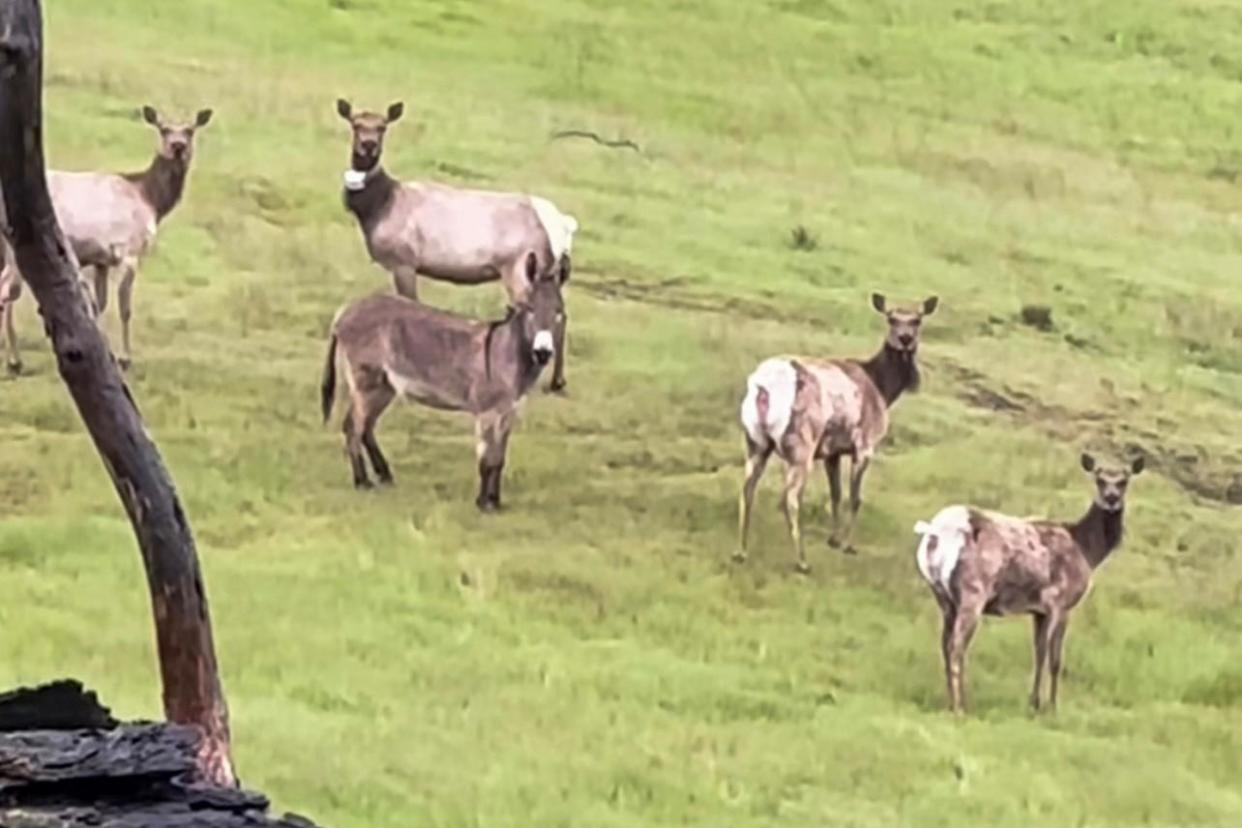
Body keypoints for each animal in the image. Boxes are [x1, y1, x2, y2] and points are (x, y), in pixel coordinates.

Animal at [322, 253, 568, 511]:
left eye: (559, 311)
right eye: (530, 309)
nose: (543, 352)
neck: (508, 353)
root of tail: (344, 312)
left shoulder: (508, 413)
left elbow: (499, 459)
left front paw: (495, 502)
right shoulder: (487, 412)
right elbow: (487, 459)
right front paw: (483, 503)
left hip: (383, 386)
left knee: (366, 427)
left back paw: (384, 475)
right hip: (366, 383)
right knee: (353, 427)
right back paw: (362, 482)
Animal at [332, 98, 578, 394]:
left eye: (382, 127)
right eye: (356, 124)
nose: (368, 145)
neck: (379, 207)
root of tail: (564, 225)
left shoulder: (404, 260)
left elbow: (411, 302)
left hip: (521, 267)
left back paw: (554, 379)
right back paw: (557, 379)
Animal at [730, 294, 933, 573]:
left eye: (917, 320)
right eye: (891, 318)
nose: (905, 339)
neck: (883, 388)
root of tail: (763, 388)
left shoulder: (832, 452)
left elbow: (836, 494)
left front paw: (834, 539)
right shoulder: (864, 445)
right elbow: (855, 497)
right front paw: (848, 545)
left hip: (755, 441)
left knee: (746, 489)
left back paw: (741, 551)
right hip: (801, 447)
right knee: (791, 497)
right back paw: (802, 561)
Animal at [914, 449, 1142, 715]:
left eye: (1124, 480)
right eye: (1099, 479)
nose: (1112, 498)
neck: (1087, 550)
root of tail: (936, 532)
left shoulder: (1038, 610)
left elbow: (1039, 654)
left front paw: (1034, 703)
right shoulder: (1061, 602)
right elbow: (1055, 659)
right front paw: (1052, 707)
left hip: (943, 596)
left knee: (944, 645)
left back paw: (951, 702)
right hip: (973, 591)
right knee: (956, 647)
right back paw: (960, 708)